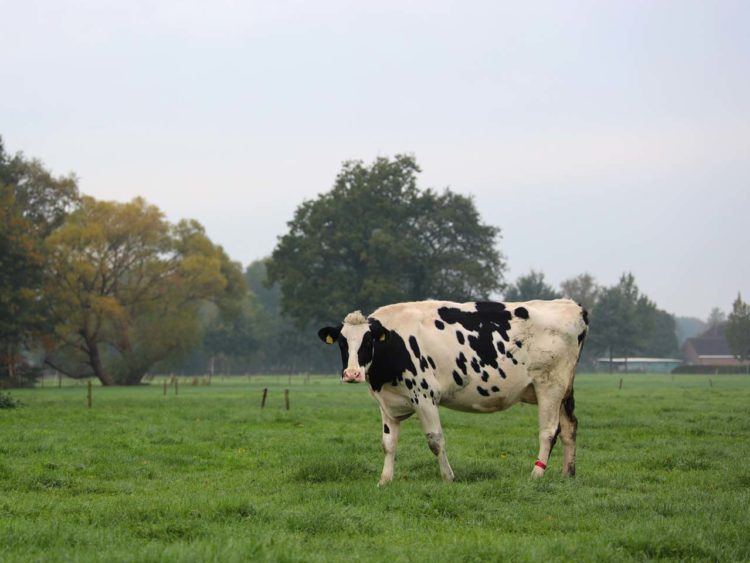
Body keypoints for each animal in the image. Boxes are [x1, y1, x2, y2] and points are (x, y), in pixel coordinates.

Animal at [320, 300, 592, 484]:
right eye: (343, 343)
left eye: (368, 341)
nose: (352, 374)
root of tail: (571, 305)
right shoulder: (387, 402)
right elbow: (388, 443)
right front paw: (384, 480)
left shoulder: (425, 397)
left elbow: (435, 440)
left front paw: (448, 477)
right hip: (564, 390)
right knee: (570, 427)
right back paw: (568, 473)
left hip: (550, 385)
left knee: (549, 432)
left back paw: (536, 474)